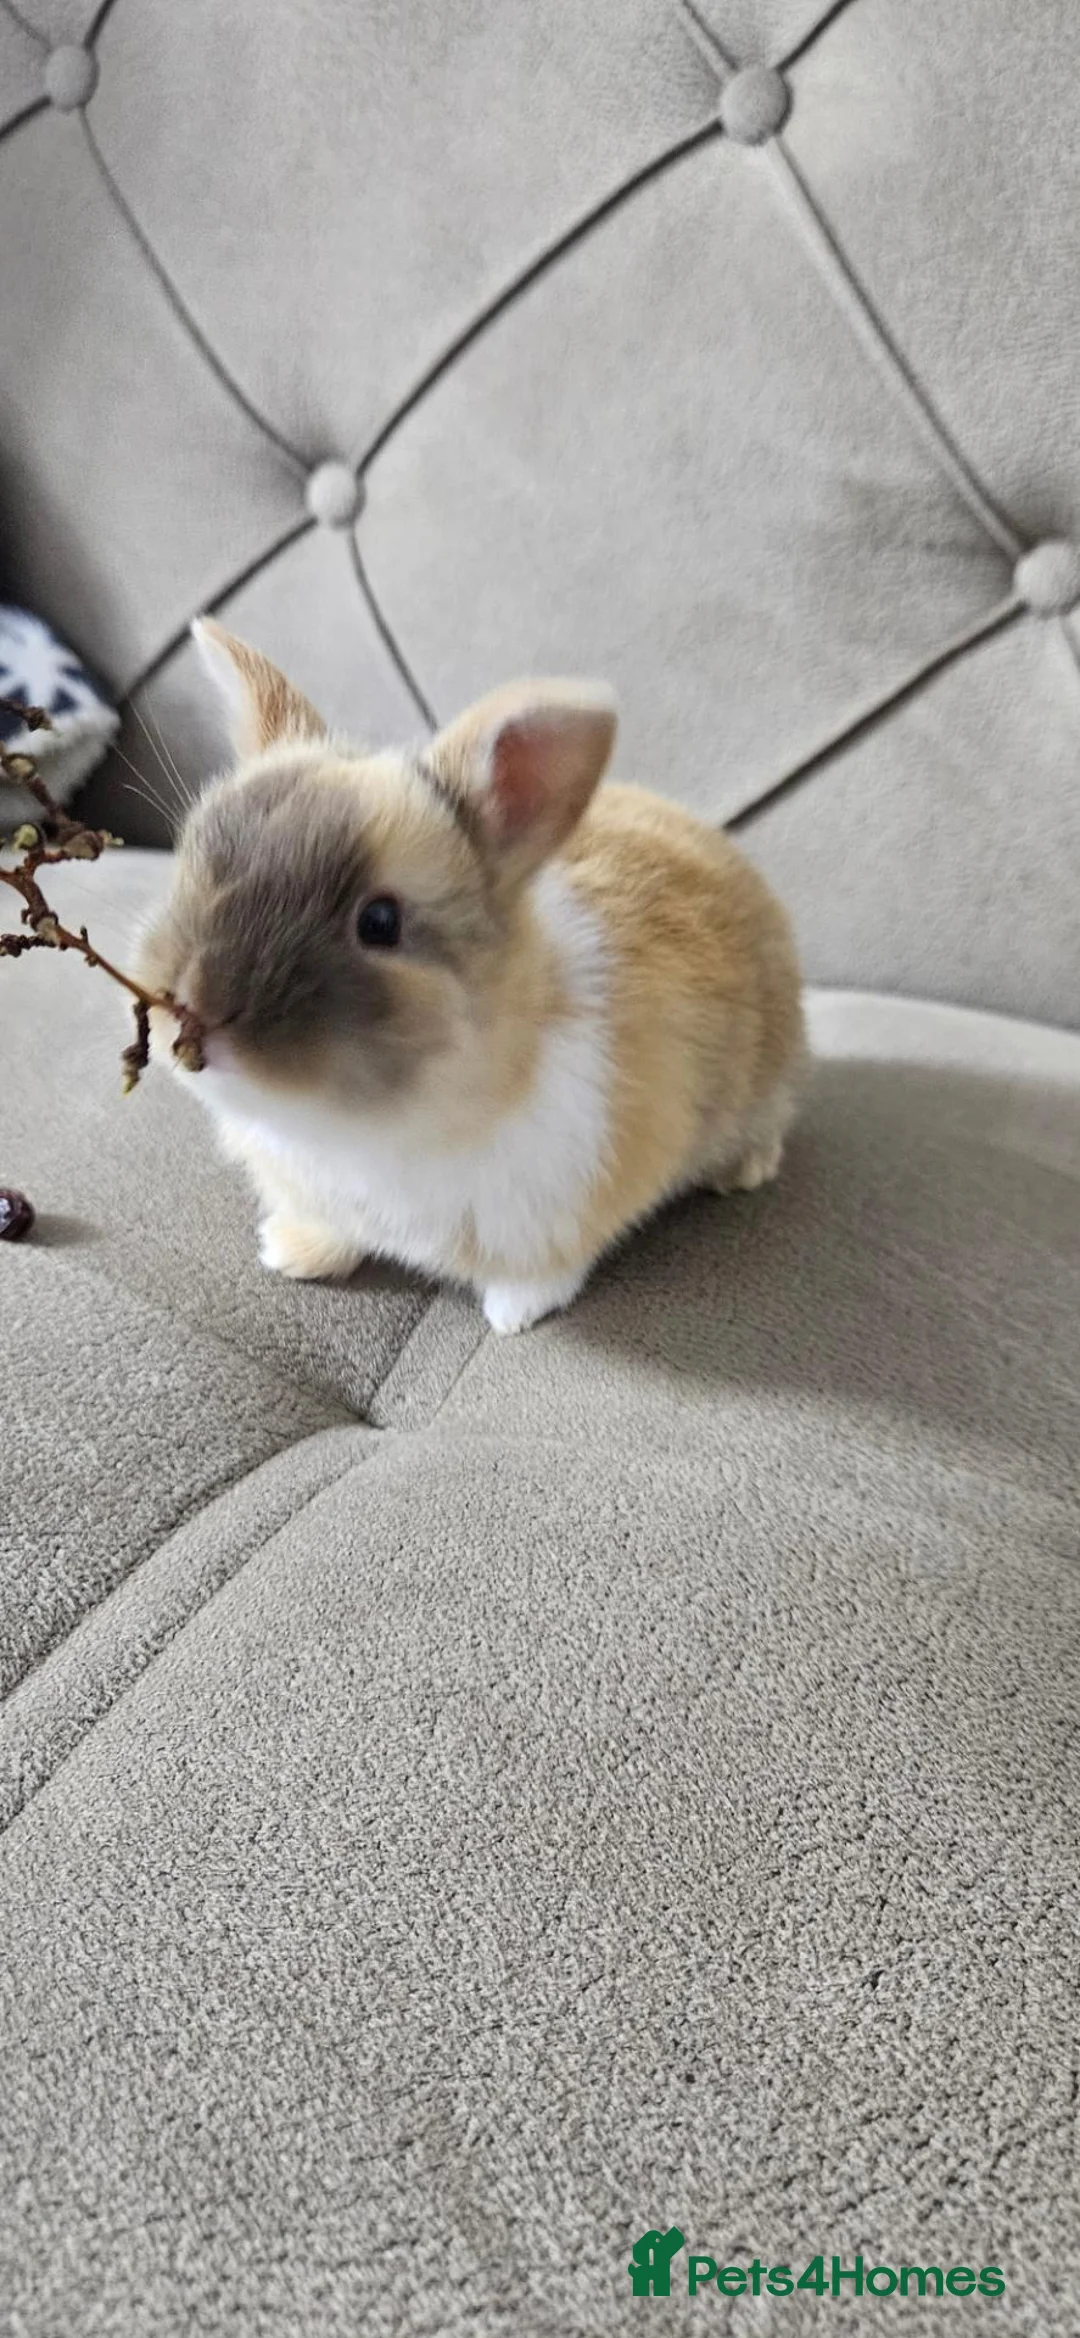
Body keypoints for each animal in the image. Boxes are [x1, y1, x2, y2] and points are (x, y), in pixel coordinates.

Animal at [136, 619, 805, 1335]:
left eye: (380, 921)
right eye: (193, 861)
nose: (190, 1011)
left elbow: (549, 1269)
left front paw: (513, 1315)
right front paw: (292, 1253)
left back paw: (745, 1171)